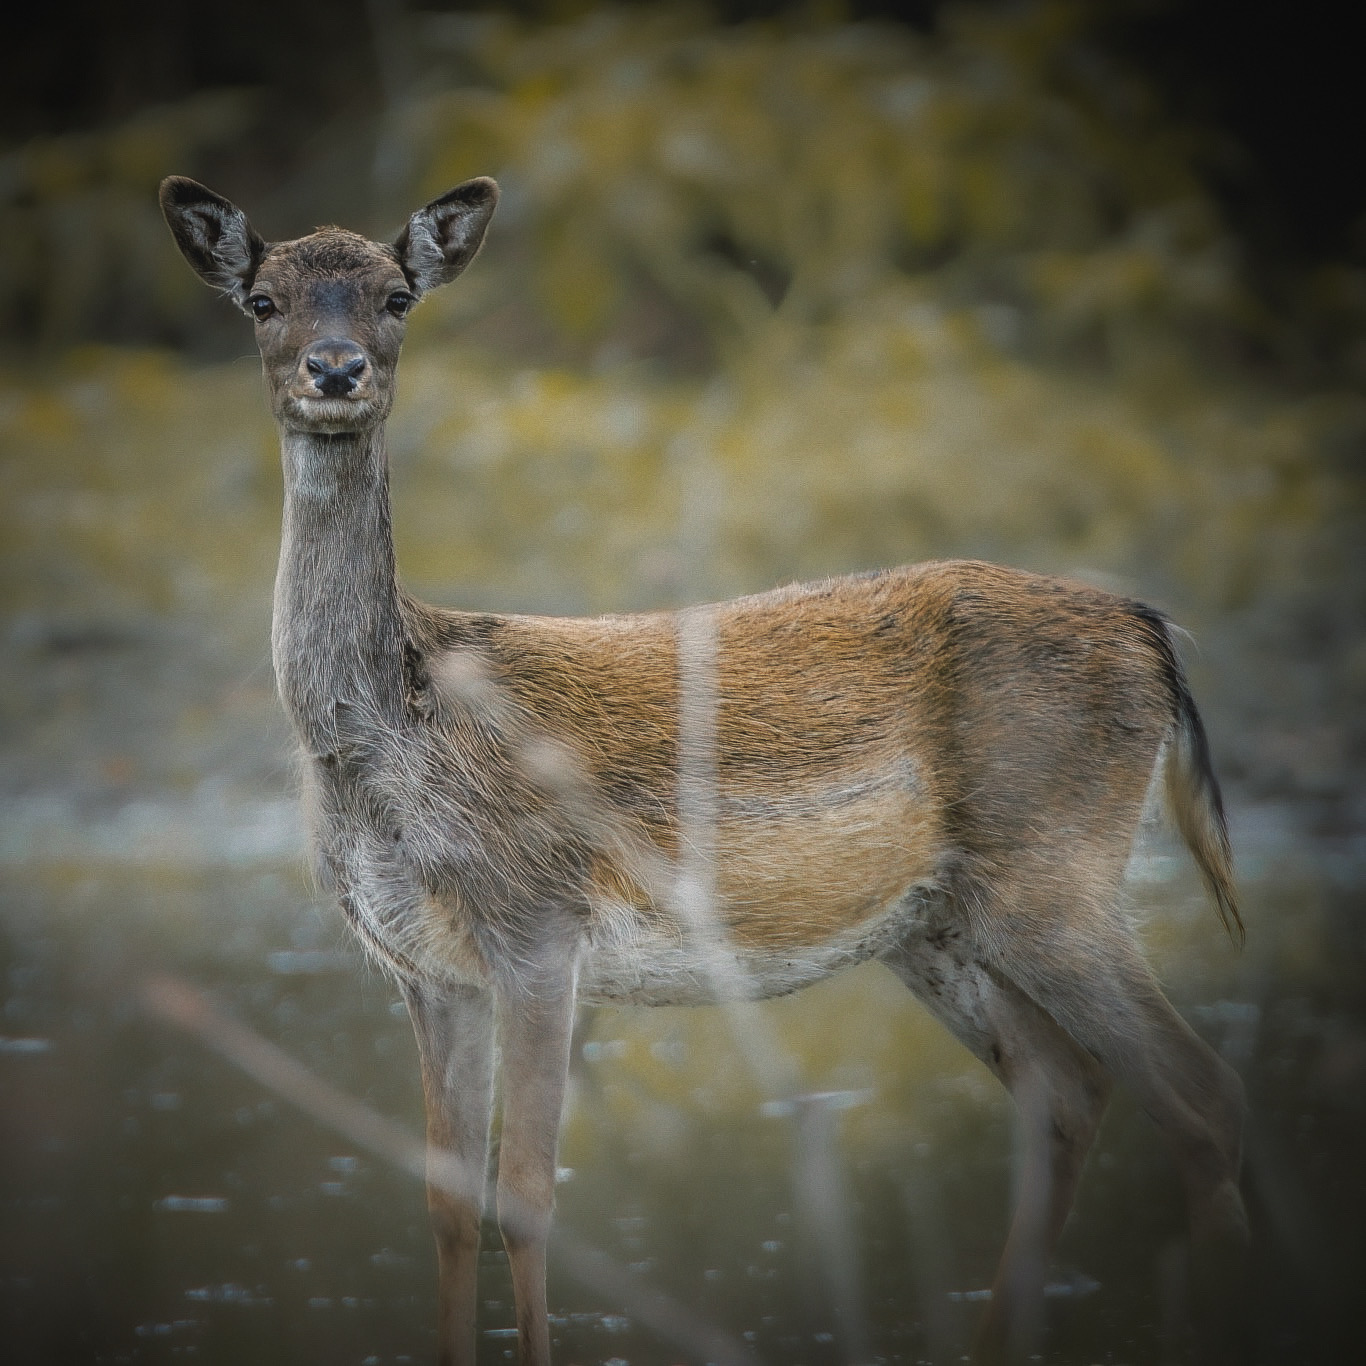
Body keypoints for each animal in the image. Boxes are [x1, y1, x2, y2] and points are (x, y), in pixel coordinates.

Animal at [159, 173, 1250, 1365]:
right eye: (263, 300)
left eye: (398, 296)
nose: (336, 369)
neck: (393, 735)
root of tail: (1152, 635)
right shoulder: (423, 965)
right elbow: (447, 1204)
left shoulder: (537, 923)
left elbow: (526, 1194)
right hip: (938, 926)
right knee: (1070, 1092)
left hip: (1056, 873)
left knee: (1203, 1095)